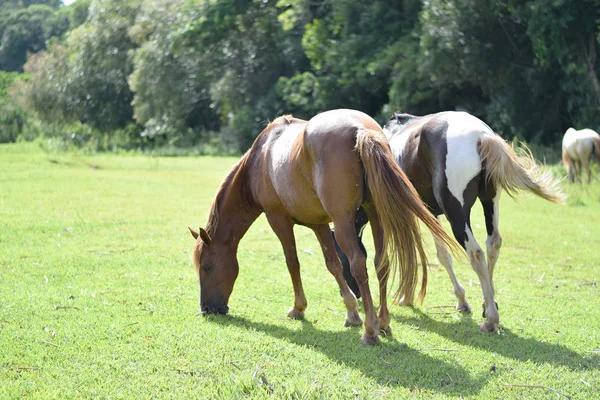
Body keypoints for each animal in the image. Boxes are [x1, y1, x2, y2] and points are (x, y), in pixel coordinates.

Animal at [190, 108, 458, 344]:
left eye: (207, 267)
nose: (206, 309)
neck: (261, 159)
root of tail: (361, 130)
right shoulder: (318, 225)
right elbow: (334, 265)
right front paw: (351, 313)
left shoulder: (278, 220)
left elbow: (293, 263)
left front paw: (299, 308)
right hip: (376, 217)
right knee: (381, 263)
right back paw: (383, 322)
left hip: (343, 224)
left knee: (359, 264)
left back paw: (370, 331)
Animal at [336, 110, 564, 332]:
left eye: (343, 259)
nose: (355, 293)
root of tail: (481, 136)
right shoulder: (430, 212)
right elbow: (441, 254)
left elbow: (426, 253)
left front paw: (409, 297)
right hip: (489, 201)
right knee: (493, 244)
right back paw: (488, 303)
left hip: (457, 215)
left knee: (476, 254)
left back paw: (491, 319)